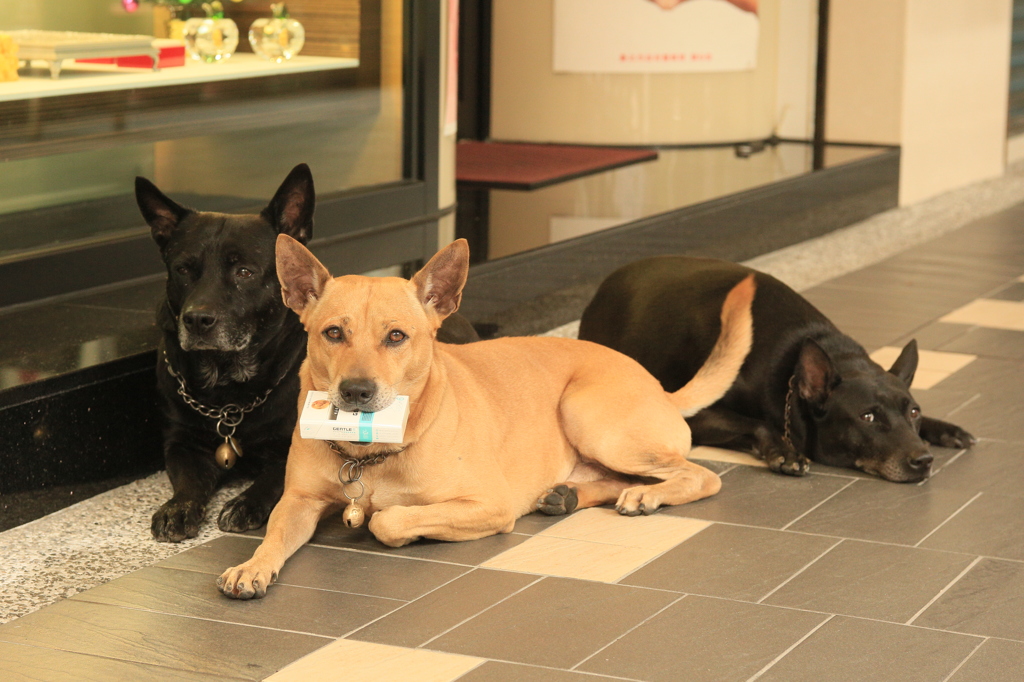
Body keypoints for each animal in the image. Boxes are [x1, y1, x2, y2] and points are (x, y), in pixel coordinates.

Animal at [136, 161, 479, 540]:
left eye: (244, 272)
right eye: (183, 269)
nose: (197, 319)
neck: (230, 392)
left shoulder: (290, 447)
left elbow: (271, 480)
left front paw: (244, 503)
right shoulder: (180, 443)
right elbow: (188, 483)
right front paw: (177, 509)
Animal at [220, 236, 757, 598]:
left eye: (396, 336)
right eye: (333, 333)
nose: (356, 391)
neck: (368, 452)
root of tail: (660, 388)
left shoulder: (489, 505)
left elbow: (389, 519)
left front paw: (390, 519)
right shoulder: (298, 501)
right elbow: (273, 534)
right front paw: (253, 565)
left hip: (590, 417)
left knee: (700, 475)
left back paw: (648, 495)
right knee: (616, 479)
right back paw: (569, 494)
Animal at [581, 256, 970, 483]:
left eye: (914, 412)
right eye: (868, 418)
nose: (924, 460)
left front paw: (944, 428)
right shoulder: (697, 414)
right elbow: (758, 424)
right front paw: (786, 453)